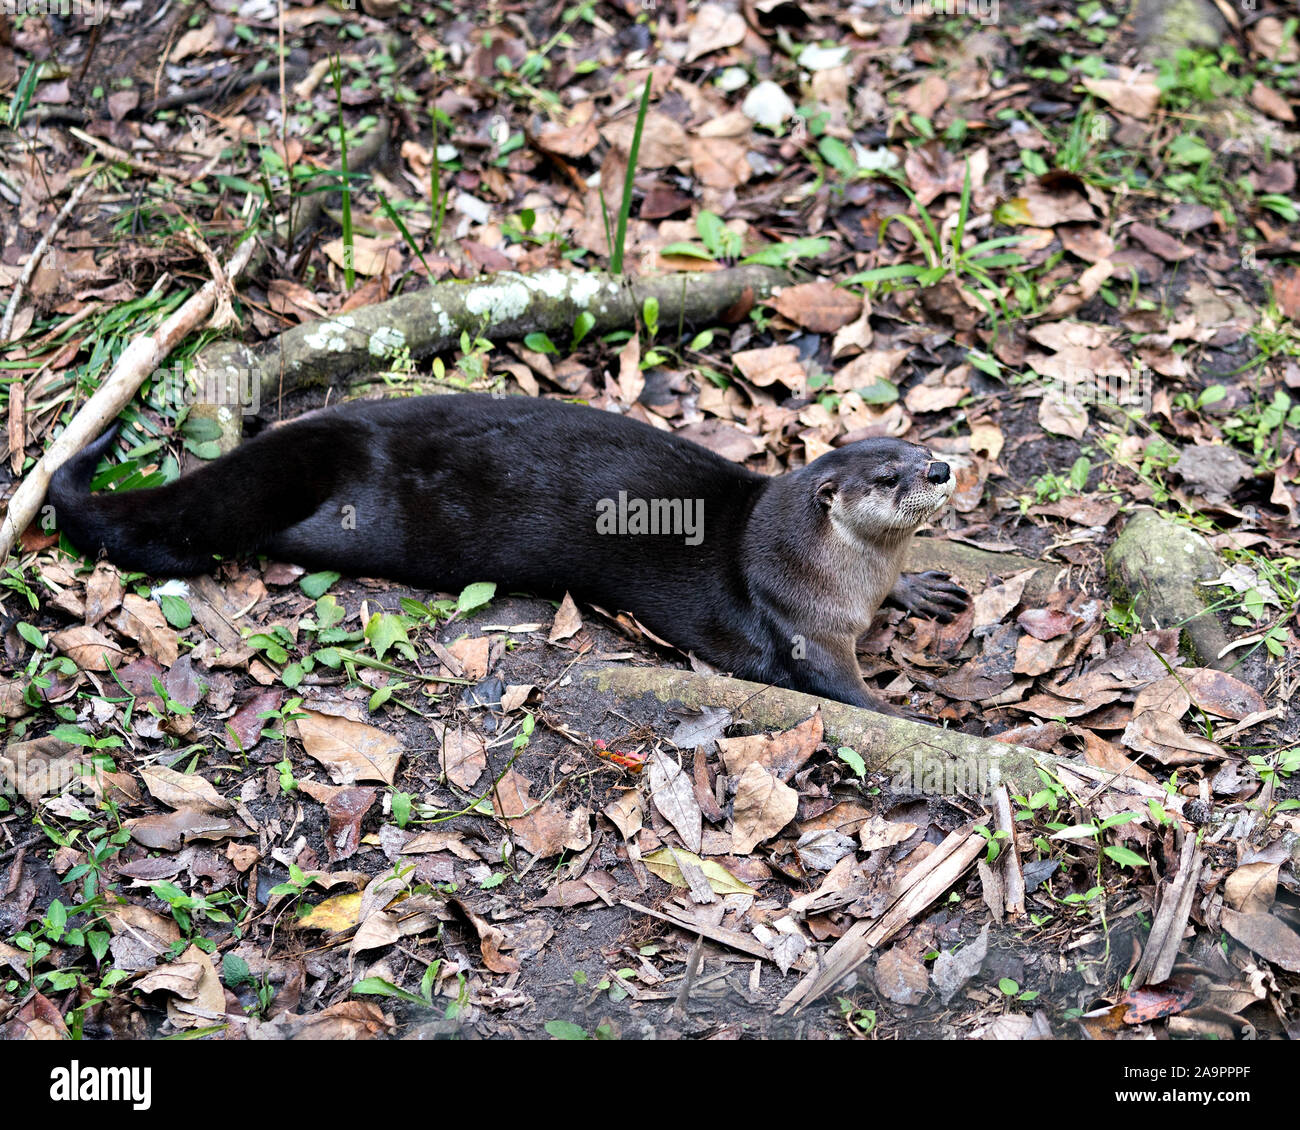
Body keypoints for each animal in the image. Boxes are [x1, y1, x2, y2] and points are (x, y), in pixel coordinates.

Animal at [47, 394, 968, 713]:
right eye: (887, 476)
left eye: (919, 441)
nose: (941, 468)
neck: (839, 580)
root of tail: (349, 430)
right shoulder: (801, 626)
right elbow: (843, 691)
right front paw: (922, 716)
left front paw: (923, 589)